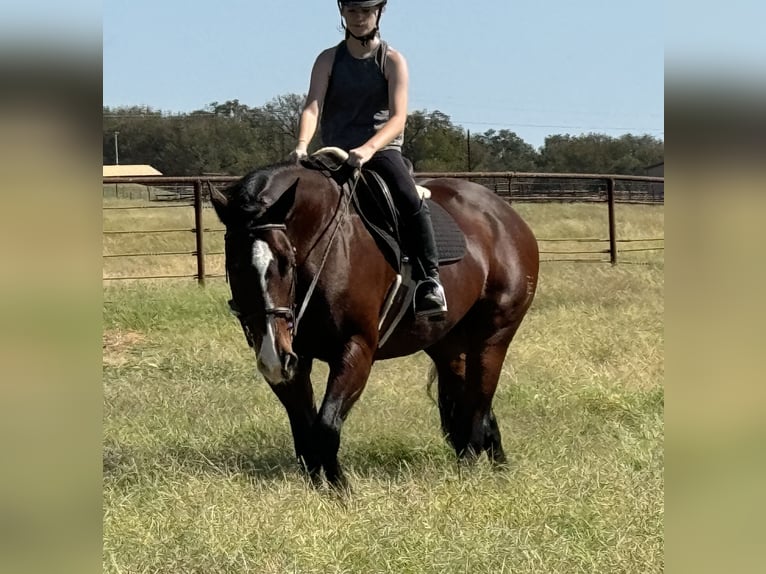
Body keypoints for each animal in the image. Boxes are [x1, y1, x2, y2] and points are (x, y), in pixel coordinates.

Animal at [210, 160, 540, 492]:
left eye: (284, 261)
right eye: (233, 265)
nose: (272, 353)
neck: (325, 247)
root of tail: (505, 215)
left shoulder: (356, 348)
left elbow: (325, 428)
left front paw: (341, 493)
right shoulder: (291, 361)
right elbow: (305, 433)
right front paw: (319, 490)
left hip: (493, 339)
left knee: (479, 410)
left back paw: (474, 475)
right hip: (448, 346)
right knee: (472, 406)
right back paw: (493, 470)